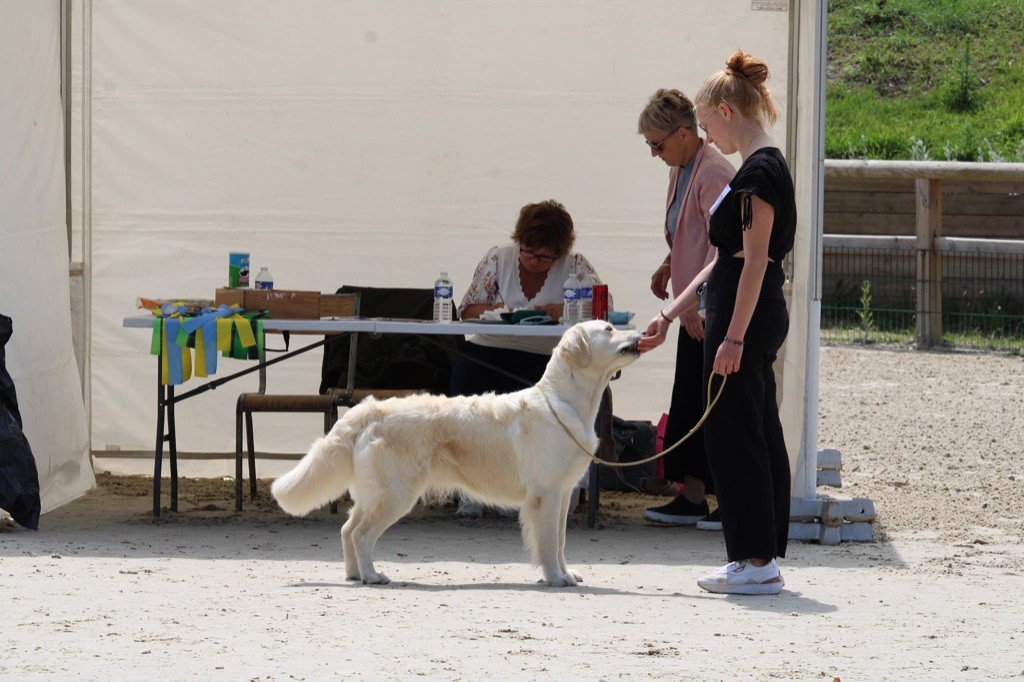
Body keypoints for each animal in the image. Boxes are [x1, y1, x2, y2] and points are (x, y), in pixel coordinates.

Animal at [272, 319, 638, 585]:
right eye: (609, 329)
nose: (640, 333)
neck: (563, 402)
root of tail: (369, 409)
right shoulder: (545, 495)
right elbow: (548, 542)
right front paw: (555, 578)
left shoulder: (562, 494)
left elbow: (560, 541)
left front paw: (566, 572)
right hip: (397, 493)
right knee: (361, 533)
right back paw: (373, 576)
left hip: (374, 492)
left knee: (348, 529)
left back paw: (353, 574)